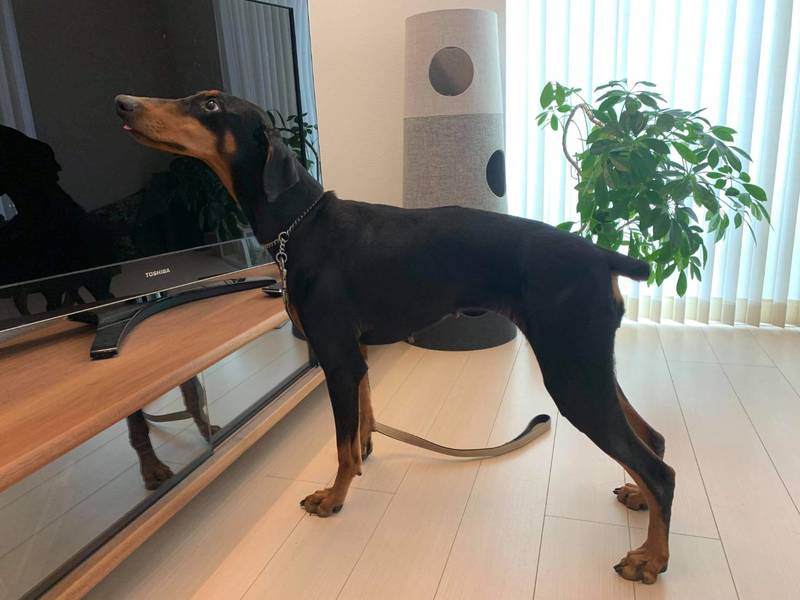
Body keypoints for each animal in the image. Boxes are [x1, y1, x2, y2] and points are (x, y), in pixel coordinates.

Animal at [115, 90, 675, 584]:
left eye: (210, 104)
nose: (122, 104)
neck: (299, 225)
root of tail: (602, 254)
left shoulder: (335, 358)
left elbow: (340, 445)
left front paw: (333, 497)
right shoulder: (355, 354)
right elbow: (362, 420)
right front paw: (364, 456)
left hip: (570, 372)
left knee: (660, 470)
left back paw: (651, 558)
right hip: (588, 362)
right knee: (653, 440)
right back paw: (638, 501)